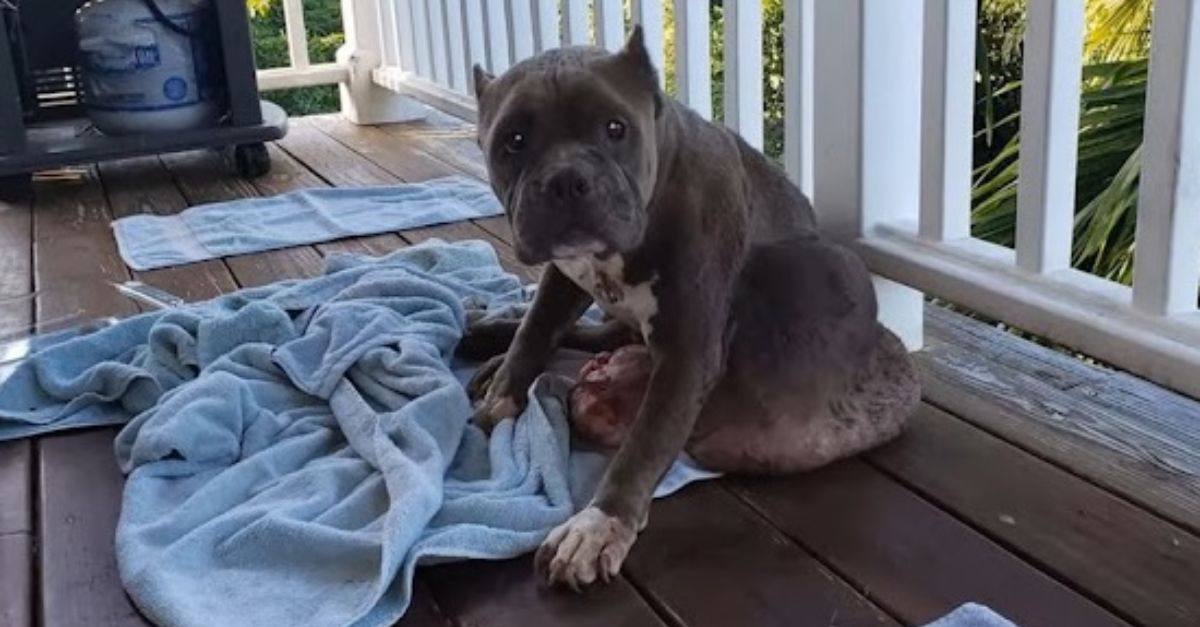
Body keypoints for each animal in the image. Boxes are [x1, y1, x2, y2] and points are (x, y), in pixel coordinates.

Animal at [460, 25, 916, 590]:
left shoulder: (687, 350)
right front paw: (502, 393)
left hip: (790, 266)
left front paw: (598, 525)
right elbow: (535, 331)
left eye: (615, 128)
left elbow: (646, 440)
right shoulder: (563, 279)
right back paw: (489, 340)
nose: (567, 180)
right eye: (514, 141)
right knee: (593, 334)